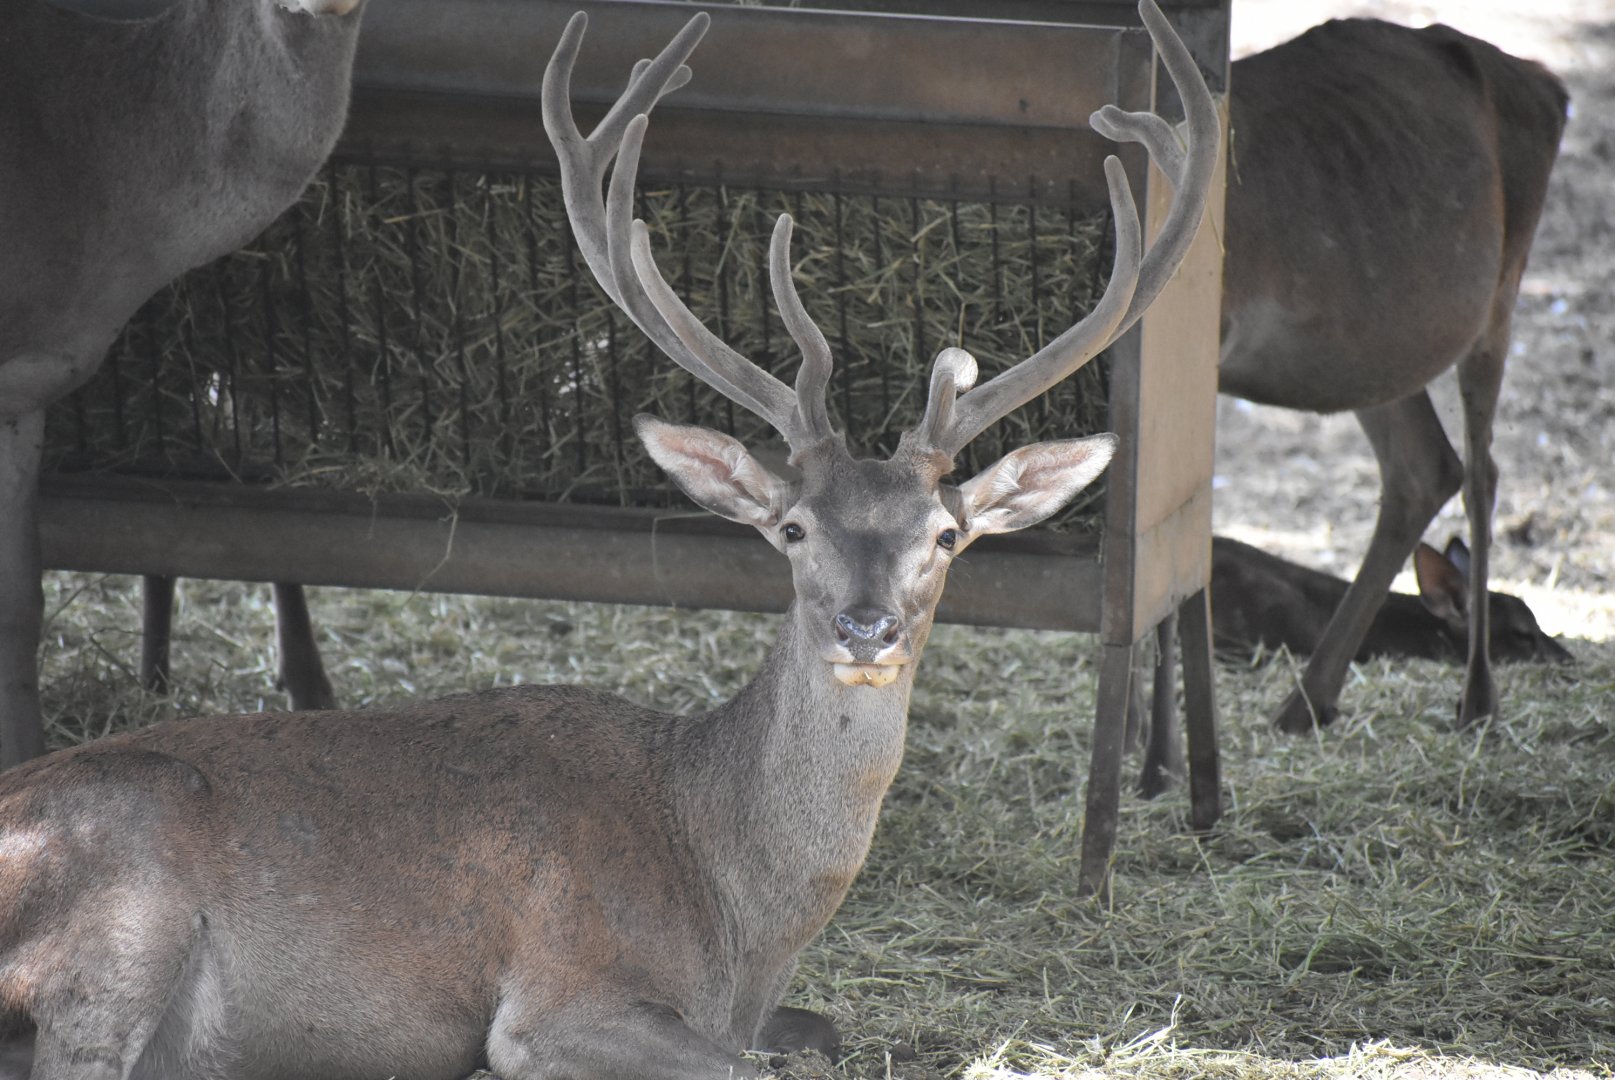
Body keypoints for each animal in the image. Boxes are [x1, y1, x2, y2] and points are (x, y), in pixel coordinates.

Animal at [1218, 18, 1569, 731]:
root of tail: (1552, 86)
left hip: (1499, 289)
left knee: (1480, 468)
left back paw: (1476, 699)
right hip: (1374, 347)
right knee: (1424, 465)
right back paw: (1308, 702)